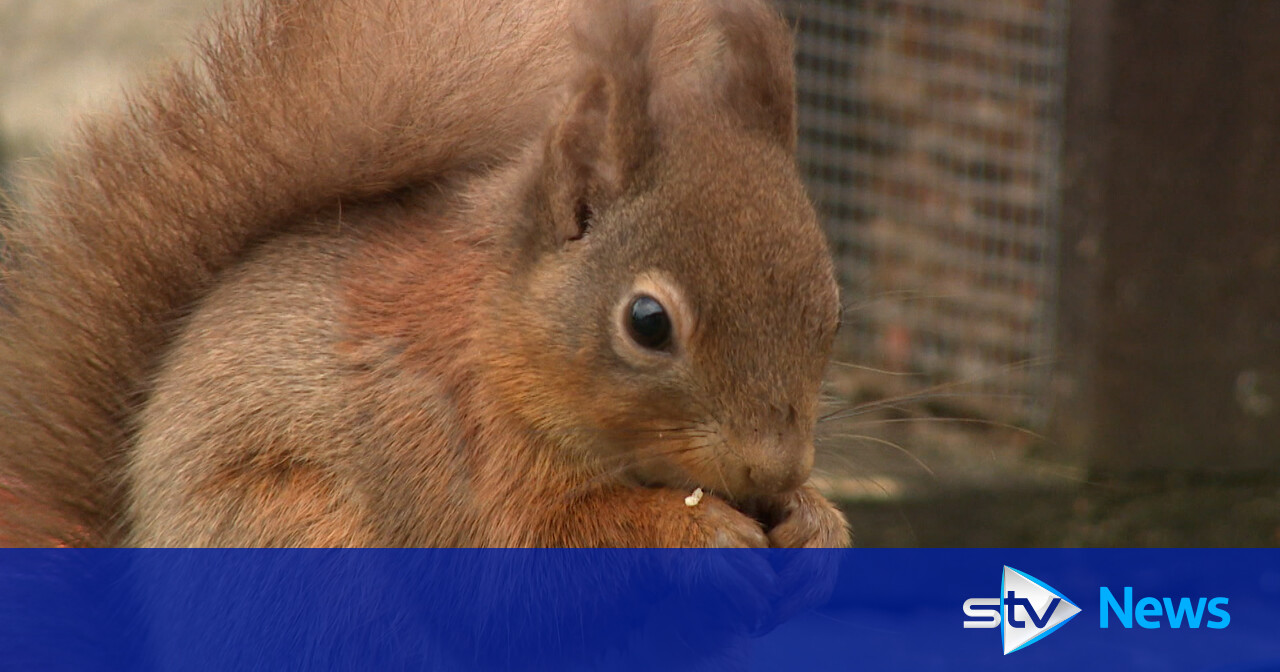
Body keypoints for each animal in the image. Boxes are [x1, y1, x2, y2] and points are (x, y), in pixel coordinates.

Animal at [0, 0, 851, 549]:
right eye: (648, 322)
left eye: (835, 312)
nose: (775, 470)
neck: (503, 342)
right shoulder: (445, 432)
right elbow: (535, 548)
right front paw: (695, 525)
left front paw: (816, 521)